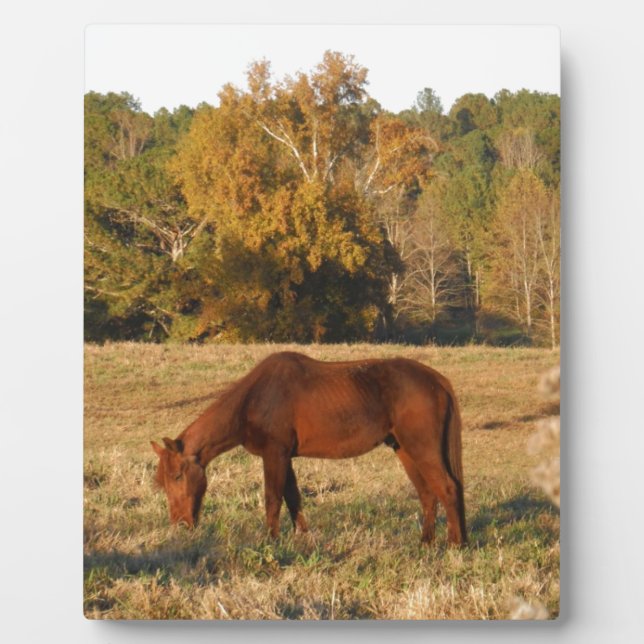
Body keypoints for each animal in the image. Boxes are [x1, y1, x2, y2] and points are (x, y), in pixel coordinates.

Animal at [151, 351, 467, 546]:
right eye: (163, 482)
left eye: (177, 476)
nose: (180, 525)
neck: (255, 398)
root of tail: (436, 380)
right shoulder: (285, 457)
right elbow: (293, 497)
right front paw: (301, 536)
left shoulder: (275, 454)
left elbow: (273, 498)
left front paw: (271, 540)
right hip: (404, 450)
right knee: (428, 494)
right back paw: (427, 542)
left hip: (421, 448)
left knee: (447, 488)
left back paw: (455, 545)